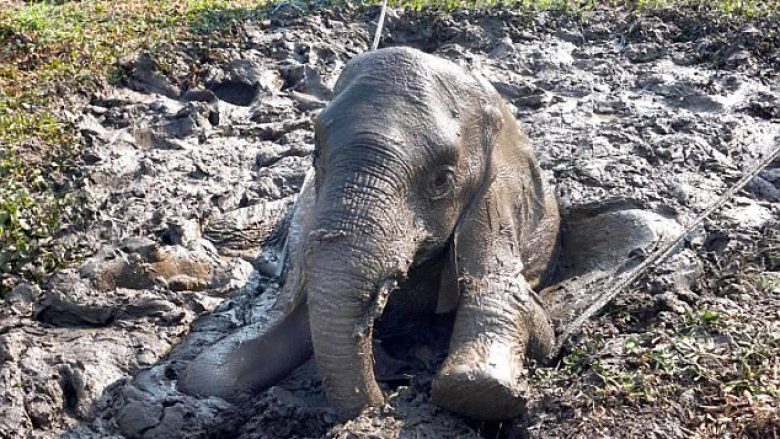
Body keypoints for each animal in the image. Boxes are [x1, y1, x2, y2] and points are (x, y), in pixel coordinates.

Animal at [178, 46, 560, 422]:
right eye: (316, 156)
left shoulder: (497, 197)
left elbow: (500, 347)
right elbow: (213, 373)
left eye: (442, 180)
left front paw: (477, 387)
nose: (381, 403)